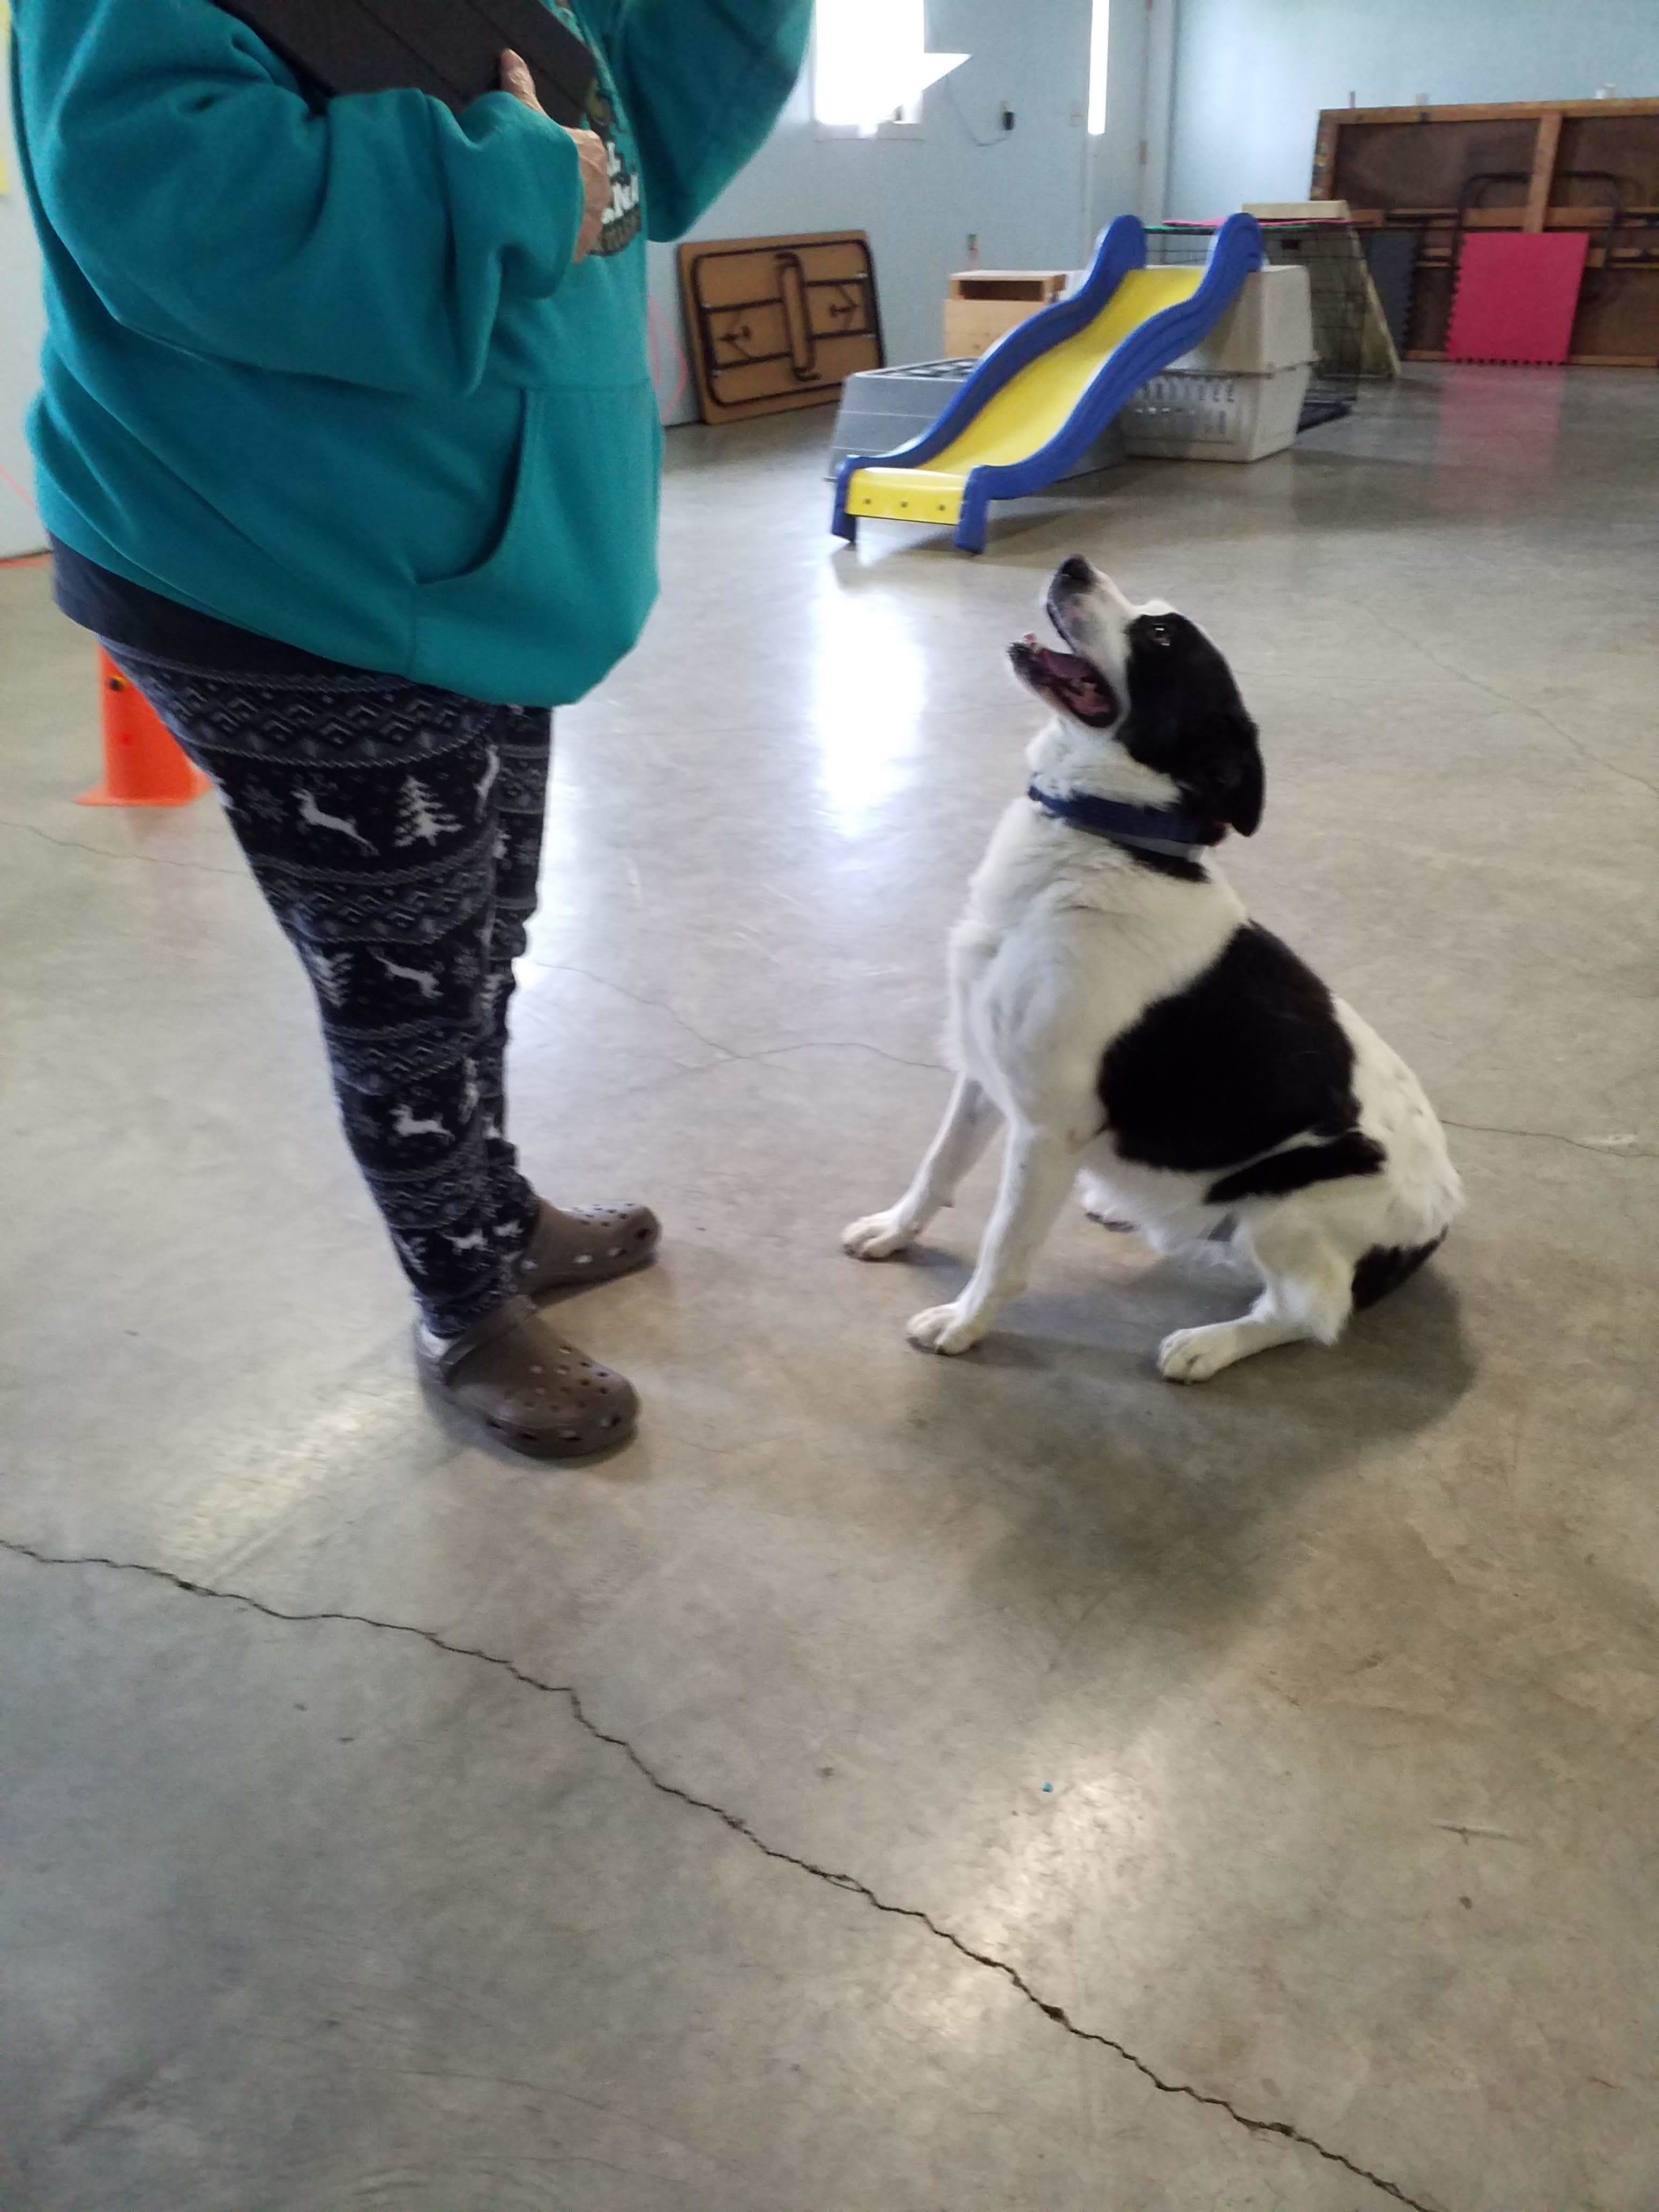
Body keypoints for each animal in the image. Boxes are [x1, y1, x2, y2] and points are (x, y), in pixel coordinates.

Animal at [845, 557, 1468, 1380]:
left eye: (1164, 635)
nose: (1074, 564)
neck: (1105, 840)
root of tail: (1441, 1222)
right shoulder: (984, 1074)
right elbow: (937, 1168)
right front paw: (894, 1231)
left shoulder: (1046, 1126)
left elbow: (1004, 1244)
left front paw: (964, 1322)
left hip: (1289, 1203)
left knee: (1309, 1313)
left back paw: (1208, 1345)